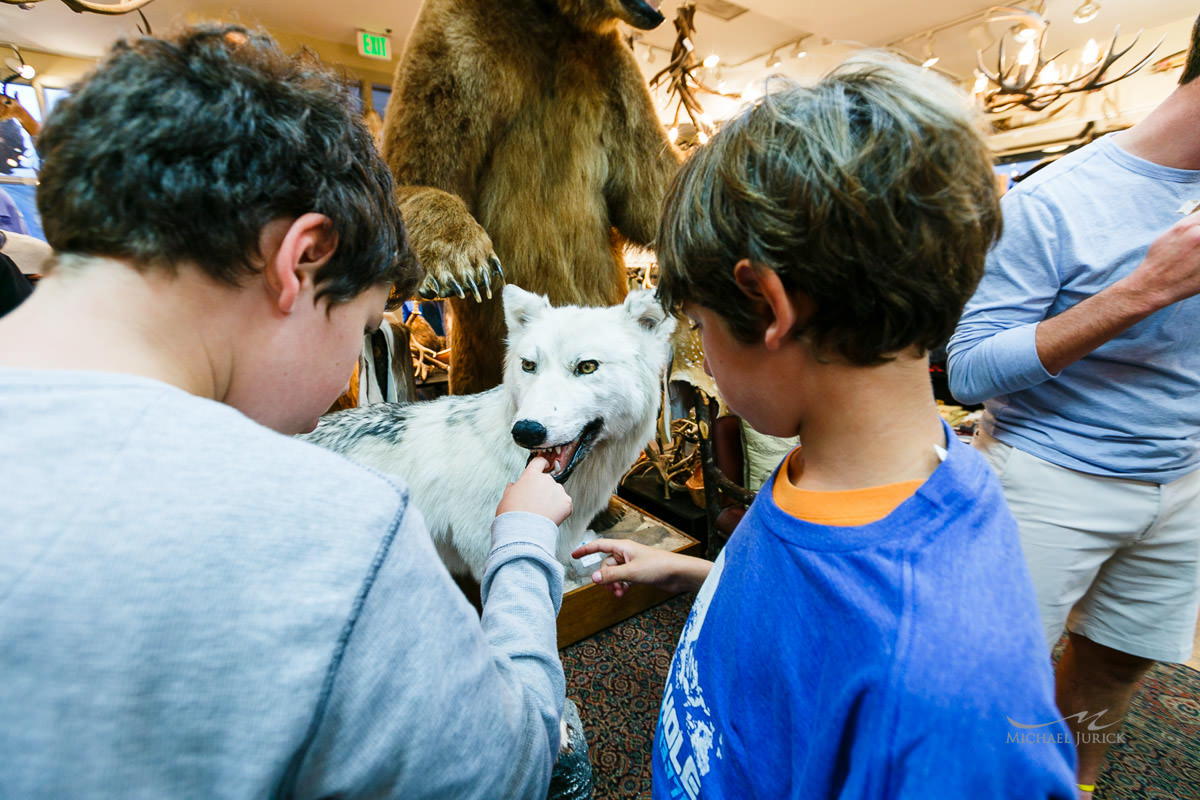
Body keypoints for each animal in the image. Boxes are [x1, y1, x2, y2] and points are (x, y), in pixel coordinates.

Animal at [384, 0, 686, 395]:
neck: (549, 17)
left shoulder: (609, 72)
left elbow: (648, 182)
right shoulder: (458, 39)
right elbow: (419, 164)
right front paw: (464, 265)